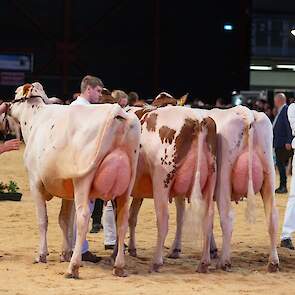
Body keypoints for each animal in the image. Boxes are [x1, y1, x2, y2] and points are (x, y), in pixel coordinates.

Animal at [8, 84, 142, 280]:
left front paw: (42, 254)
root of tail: (117, 111)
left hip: (83, 181)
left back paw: (73, 267)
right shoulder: (67, 188)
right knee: (123, 218)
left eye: (15, 93)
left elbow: (43, 220)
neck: (36, 120)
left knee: (83, 217)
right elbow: (64, 220)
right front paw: (64, 253)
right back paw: (119, 266)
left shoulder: (35, 183)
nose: (8, 106)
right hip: (127, 184)